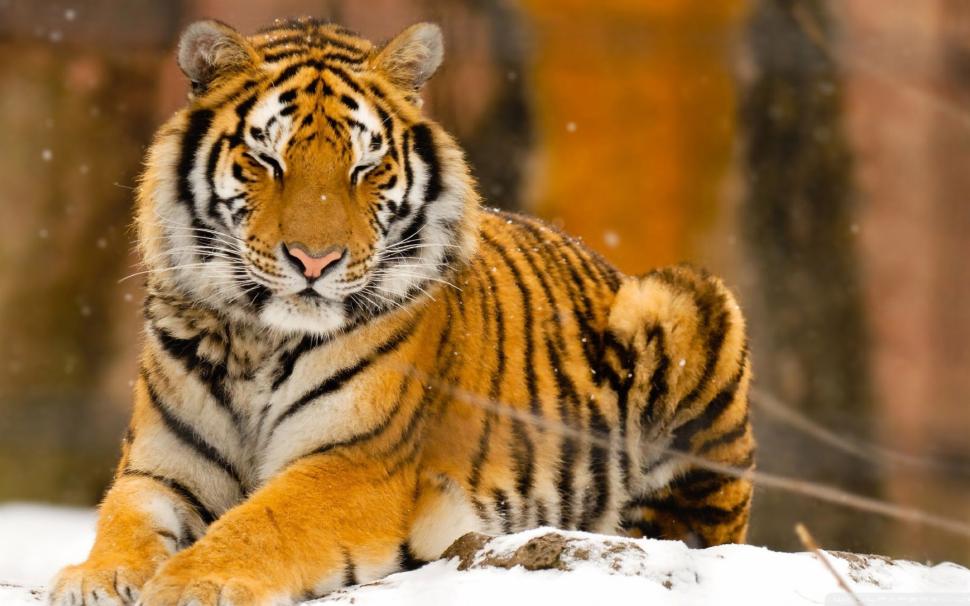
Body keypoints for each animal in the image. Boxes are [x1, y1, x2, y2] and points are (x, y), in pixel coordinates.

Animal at [49, 17, 754, 606]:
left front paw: (193, 583)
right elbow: (122, 517)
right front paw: (93, 578)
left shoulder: (357, 462)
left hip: (684, 303)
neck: (256, 339)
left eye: (366, 167)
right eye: (267, 160)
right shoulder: (162, 466)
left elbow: (263, 521)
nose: (314, 260)